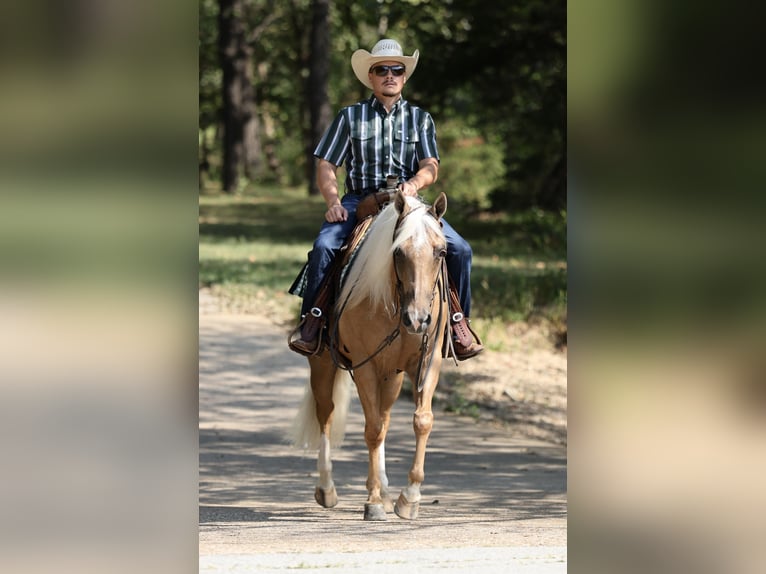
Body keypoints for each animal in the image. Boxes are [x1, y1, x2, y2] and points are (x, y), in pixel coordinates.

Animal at [291, 191, 450, 521]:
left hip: (392, 376)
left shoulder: (428, 363)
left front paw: (408, 498)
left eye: (441, 252)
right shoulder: (365, 366)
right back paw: (327, 489)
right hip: (323, 364)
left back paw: (388, 493)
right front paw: (374, 500)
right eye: (398, 251)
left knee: (385, 416)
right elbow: (373, 429)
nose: (418, 319)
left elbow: (421, 421)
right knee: (327, 414)